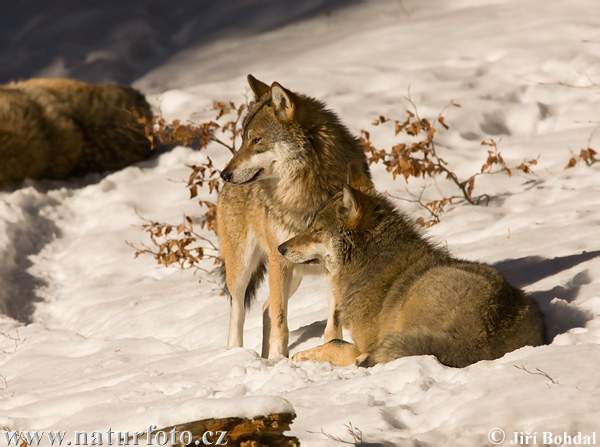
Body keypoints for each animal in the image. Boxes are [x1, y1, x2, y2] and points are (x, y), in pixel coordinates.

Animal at [216, 75, 370, 358]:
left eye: (256, 140)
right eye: (243, 140)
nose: (224, 174)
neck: (305, 193)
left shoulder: (335, 266)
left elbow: (333, 324)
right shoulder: (279, 260)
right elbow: (281, 323)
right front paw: (280, 360)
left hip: (294, 274)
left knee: (265, 307)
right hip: (243, 270)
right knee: (238, 313)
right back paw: (237, 355)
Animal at [278, 167, 548, 368]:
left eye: (316, 229)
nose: (280, 248)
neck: (368, 264)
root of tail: (479, 336)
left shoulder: (363, 343)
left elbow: (333, 345)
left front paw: (300, 356)